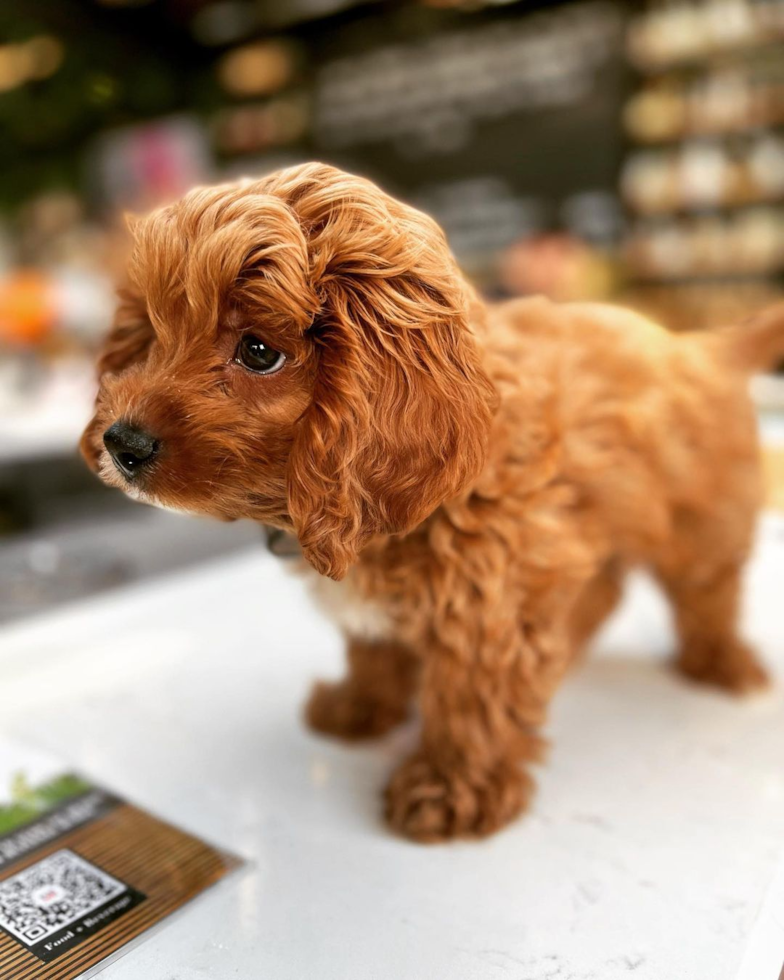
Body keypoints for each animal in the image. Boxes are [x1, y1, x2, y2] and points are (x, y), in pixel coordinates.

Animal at [82, 161, 784, 844]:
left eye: (259, 351)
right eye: (155, 334)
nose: (121, 443)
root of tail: (703, 347)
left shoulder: (491, 607)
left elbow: (472, 704)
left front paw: (452, 790)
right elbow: (374, 649)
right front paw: (361, 707)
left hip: (703, 526)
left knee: (708, 593)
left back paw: (721, 662)